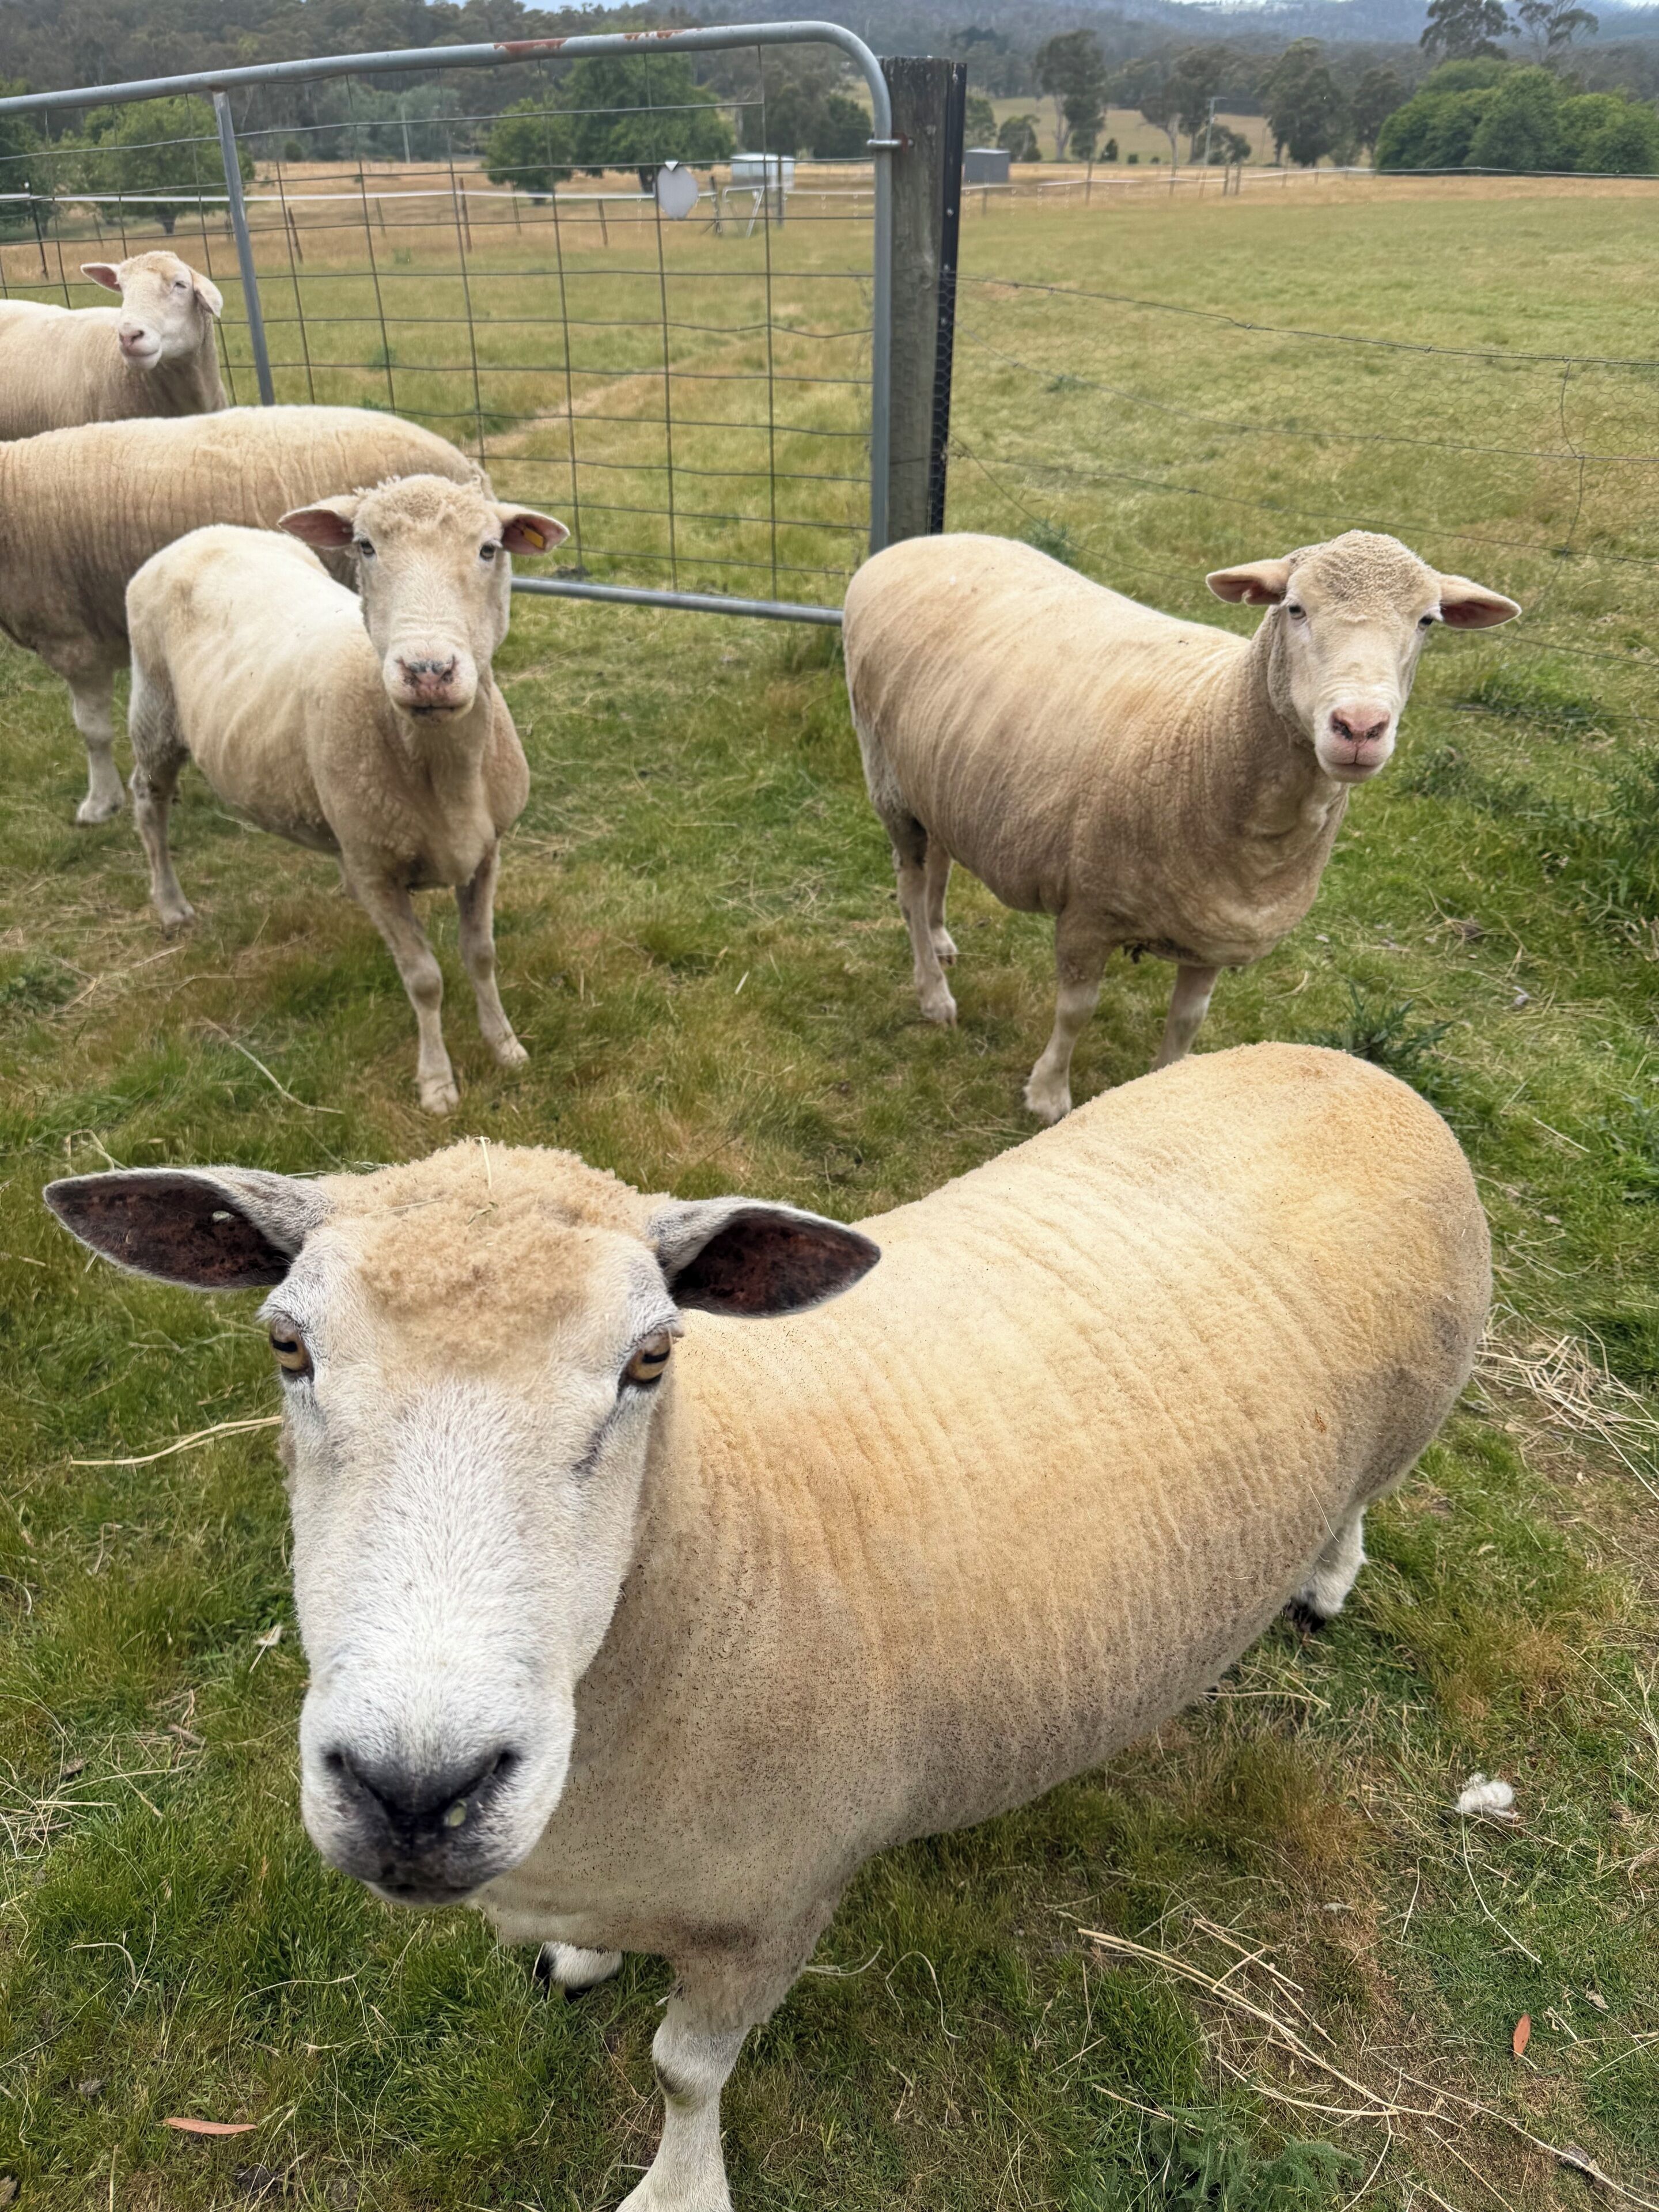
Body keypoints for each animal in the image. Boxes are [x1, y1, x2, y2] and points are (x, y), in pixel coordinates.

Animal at [45, 1039, 1490, 2212]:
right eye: (287, 1345)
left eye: (651, 1358)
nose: (416, 1790)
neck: (710, 1540)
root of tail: (1341, 1062)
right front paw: (582, 1955)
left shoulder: (778, 1899)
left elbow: (686, 2072)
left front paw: (678, 2191)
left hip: (1415, 1415)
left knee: (1365, 1498)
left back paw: (1324, 1581)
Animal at [126, 476, 567, 1115]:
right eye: (365, 546)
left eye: (489, 549)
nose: (427, 671)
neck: (442, 770)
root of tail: (205, 533)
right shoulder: (379, 870)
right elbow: (424, 979)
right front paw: (437, 1083)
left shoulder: (486, 851)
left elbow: (481, 954)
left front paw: (505, 1046)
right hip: (153, 710)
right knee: (149, 802)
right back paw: (170, 905)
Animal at [843, 530, 1520, 1123]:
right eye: (1295, 608)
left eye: (1427, 622)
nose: (1359, 727)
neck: (1211, 727)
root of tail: (922, 543)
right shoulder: (1090, 910)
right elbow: (1077, 1010)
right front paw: (1047, 1096)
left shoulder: (1215, 930)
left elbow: (1188, 1021)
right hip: (886, 774)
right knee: (909, 886)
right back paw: (933, 992)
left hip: (936, 776)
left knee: (940, 859)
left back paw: (941, 937)